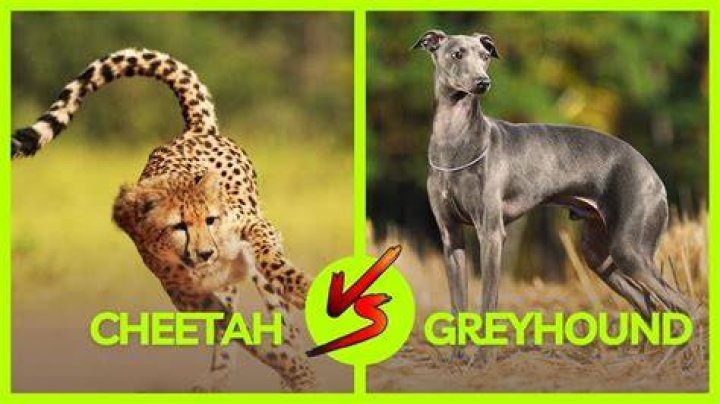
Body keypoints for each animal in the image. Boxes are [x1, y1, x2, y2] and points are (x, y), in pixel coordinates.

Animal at [11, 48, 317, 392]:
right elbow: (243, 332)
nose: (205, 253)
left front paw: (303, 294)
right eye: (178, 226)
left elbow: (271, 261)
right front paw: (289, 367)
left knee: (279, 309)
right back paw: (223, 376)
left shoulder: (252, 228)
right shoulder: (189, 296)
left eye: (210, 220)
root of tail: (193, 130)